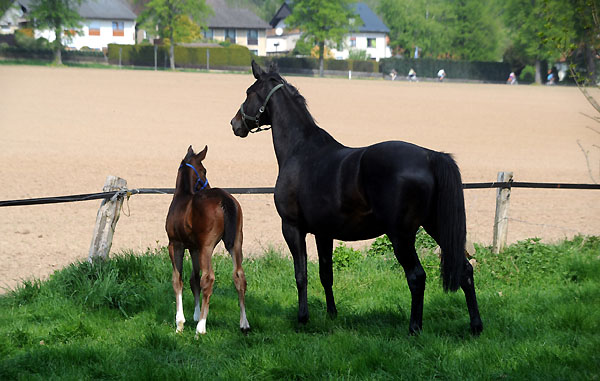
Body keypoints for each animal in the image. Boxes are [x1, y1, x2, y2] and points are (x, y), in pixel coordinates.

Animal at [164, 145, 248, 336]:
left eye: (204, 170)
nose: (206, 185)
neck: (183, 196)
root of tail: (224, 199)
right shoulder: (194, 248)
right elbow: (193, 279)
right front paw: (195, 314)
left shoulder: (175, 245)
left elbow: (178, 280)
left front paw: (180, 323)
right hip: (235, 242)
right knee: (239, 275)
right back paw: (244, 324)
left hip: (207, 246)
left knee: (208, 278)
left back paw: (201, 328)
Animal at [230, 60, 482, 334]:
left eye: (248, 92)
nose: (235, 123)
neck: (300, 150)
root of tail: (430, 156)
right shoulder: (323, 233)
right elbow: (326, 274)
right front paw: (331, 314)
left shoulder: (292, 228)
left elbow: (301, 275)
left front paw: (303, 318)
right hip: (435, 226)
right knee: (465, 271)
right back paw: (475, 326)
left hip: (401, 236)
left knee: (417, 276)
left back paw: (414, 328)